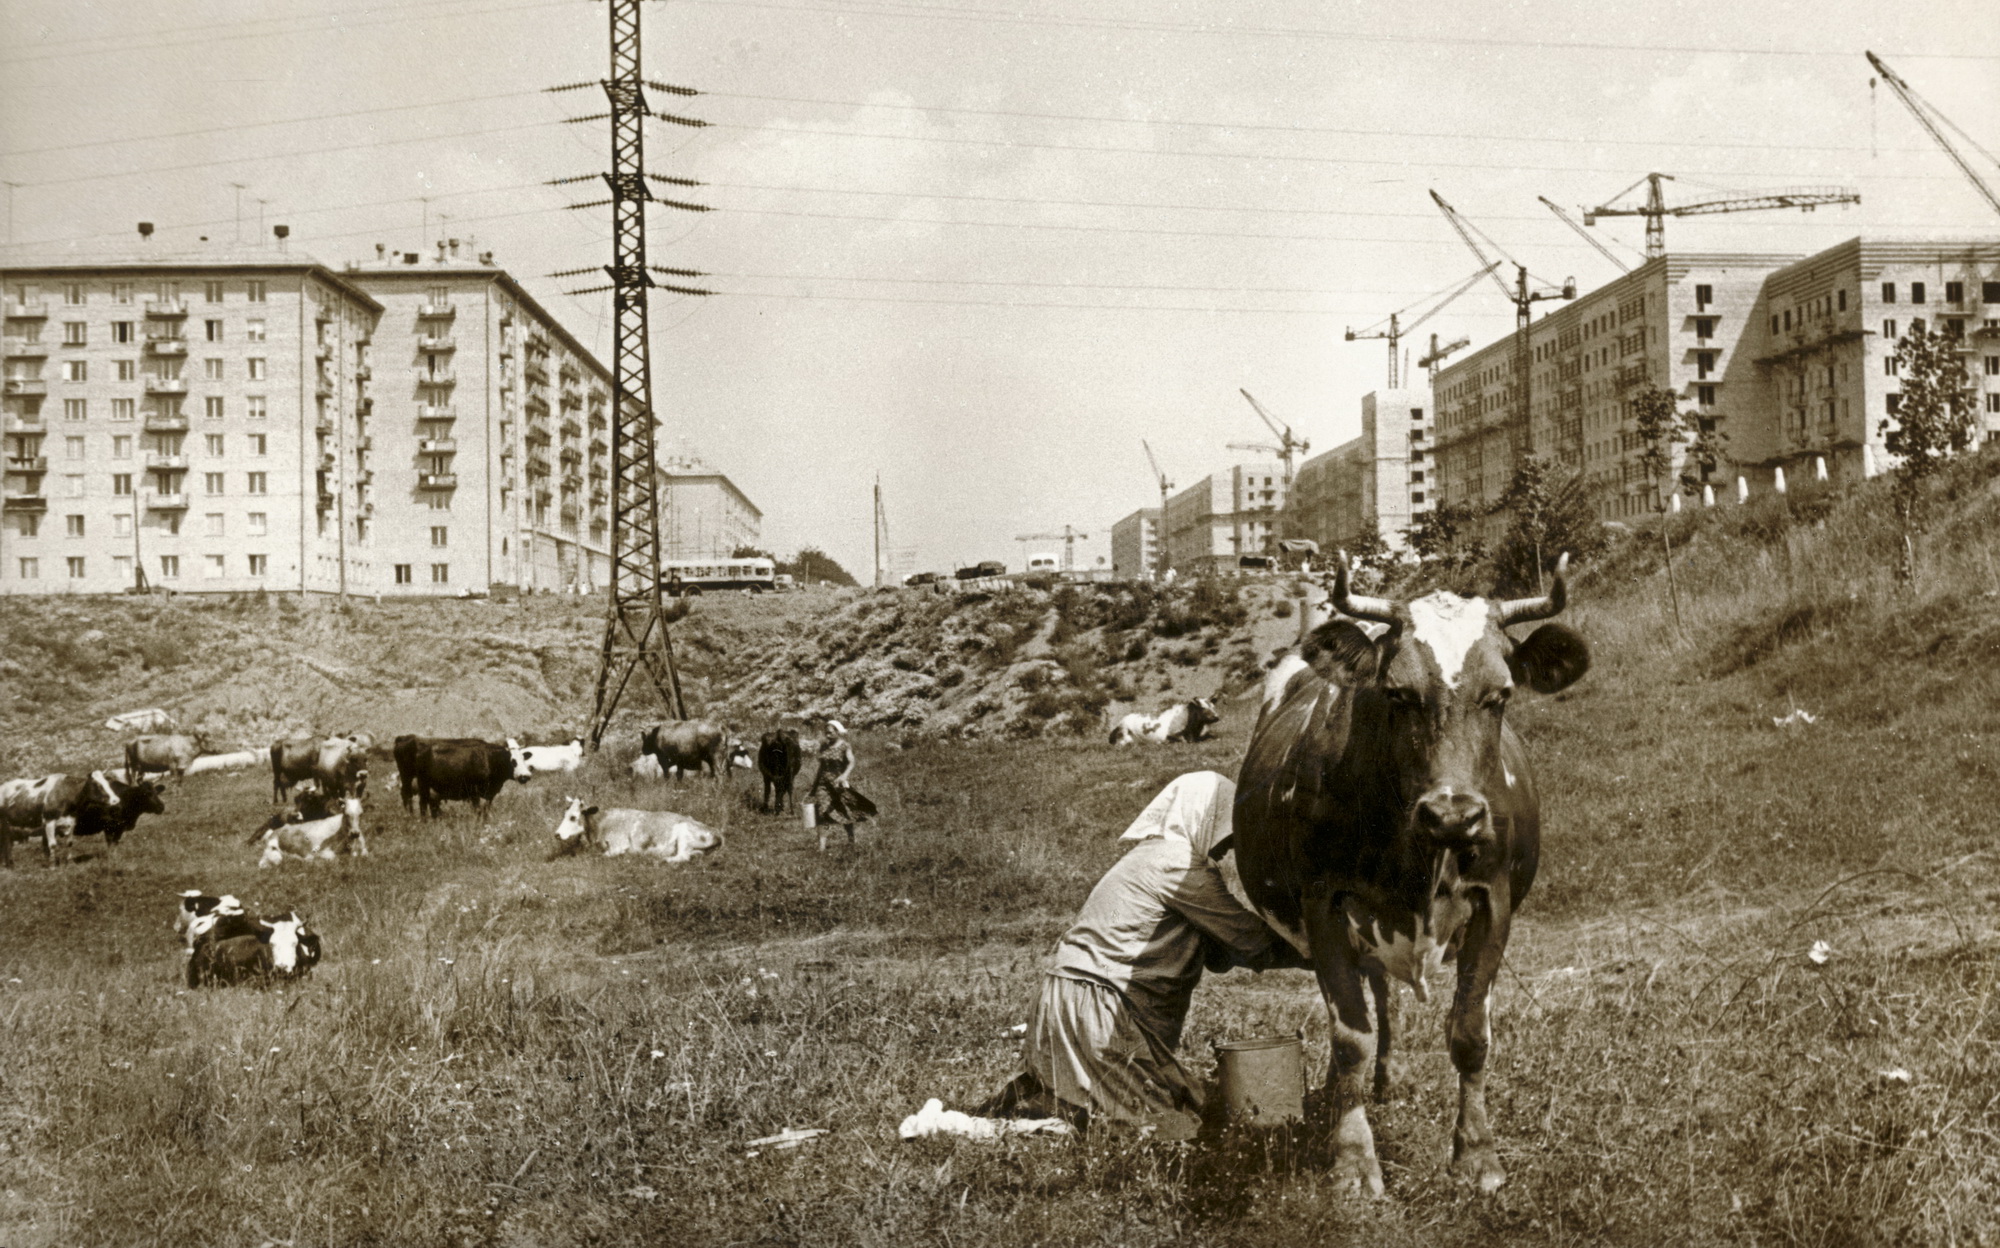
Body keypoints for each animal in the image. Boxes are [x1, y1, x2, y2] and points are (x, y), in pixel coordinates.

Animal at [398, 740, 532, 820]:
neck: (489, 759)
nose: (526, 775)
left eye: (524, 759)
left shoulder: (489, 795)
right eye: (512, 761)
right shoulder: (474, 793)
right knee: (420, 805)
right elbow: (478, 810)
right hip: (421, 786)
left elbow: (485, 810)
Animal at [552, 796, 724, 864]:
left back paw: (662, 859)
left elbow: (604, 855)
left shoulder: (618, 845)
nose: (557, 834)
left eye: (573, 817)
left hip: (683, 832)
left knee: (683, 856)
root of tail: (717, 832)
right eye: (564, 814)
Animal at [1224, 552, 1584, 1192]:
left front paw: (1477, 1155)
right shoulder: (1324, 904)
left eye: (1501, 694)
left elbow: (1469, 1032)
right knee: (1370, 1001)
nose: (1453, 815)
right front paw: (1352, 1160)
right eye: (1397, 693)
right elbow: (1350, 1036)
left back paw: (1388, 1083)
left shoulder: (1494, 902)